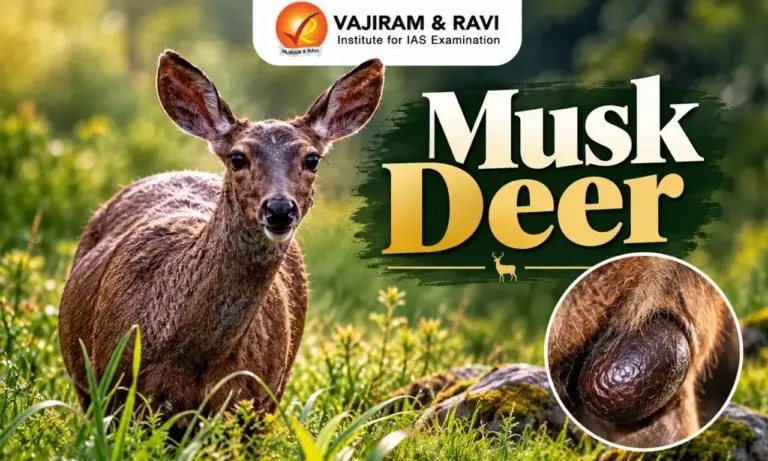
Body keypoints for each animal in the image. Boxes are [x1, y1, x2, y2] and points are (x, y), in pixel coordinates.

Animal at [58, 50, 385, 418]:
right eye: (237, 158)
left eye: (312, 159)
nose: (279, 209)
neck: (193, 356)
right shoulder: (114, 389)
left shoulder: (252, 404)